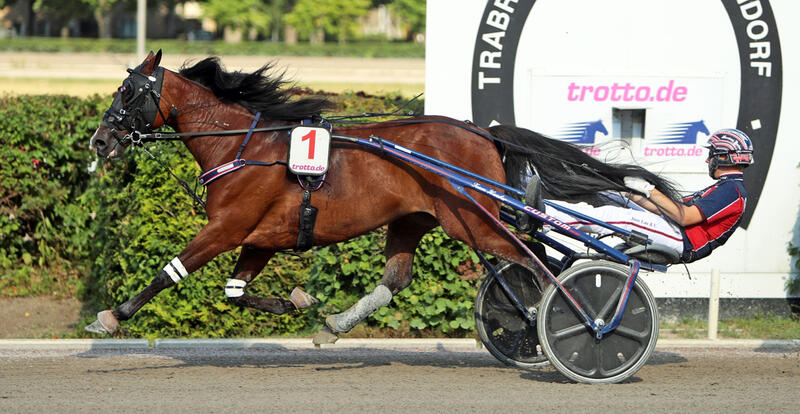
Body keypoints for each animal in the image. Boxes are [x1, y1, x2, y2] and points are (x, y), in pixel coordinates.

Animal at [86, 50, 676, 338]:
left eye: (128, 92)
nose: (99, 140)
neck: (245, 146)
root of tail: (481, 132)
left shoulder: (226, 228)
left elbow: (169, 272)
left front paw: (111, 315)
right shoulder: (260, 237)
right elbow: (235, 292)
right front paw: (302, 301)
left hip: (472, 220)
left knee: (538, 261)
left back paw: (583, 319)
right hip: (417, 218)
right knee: (401, 277)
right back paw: (339, 324)